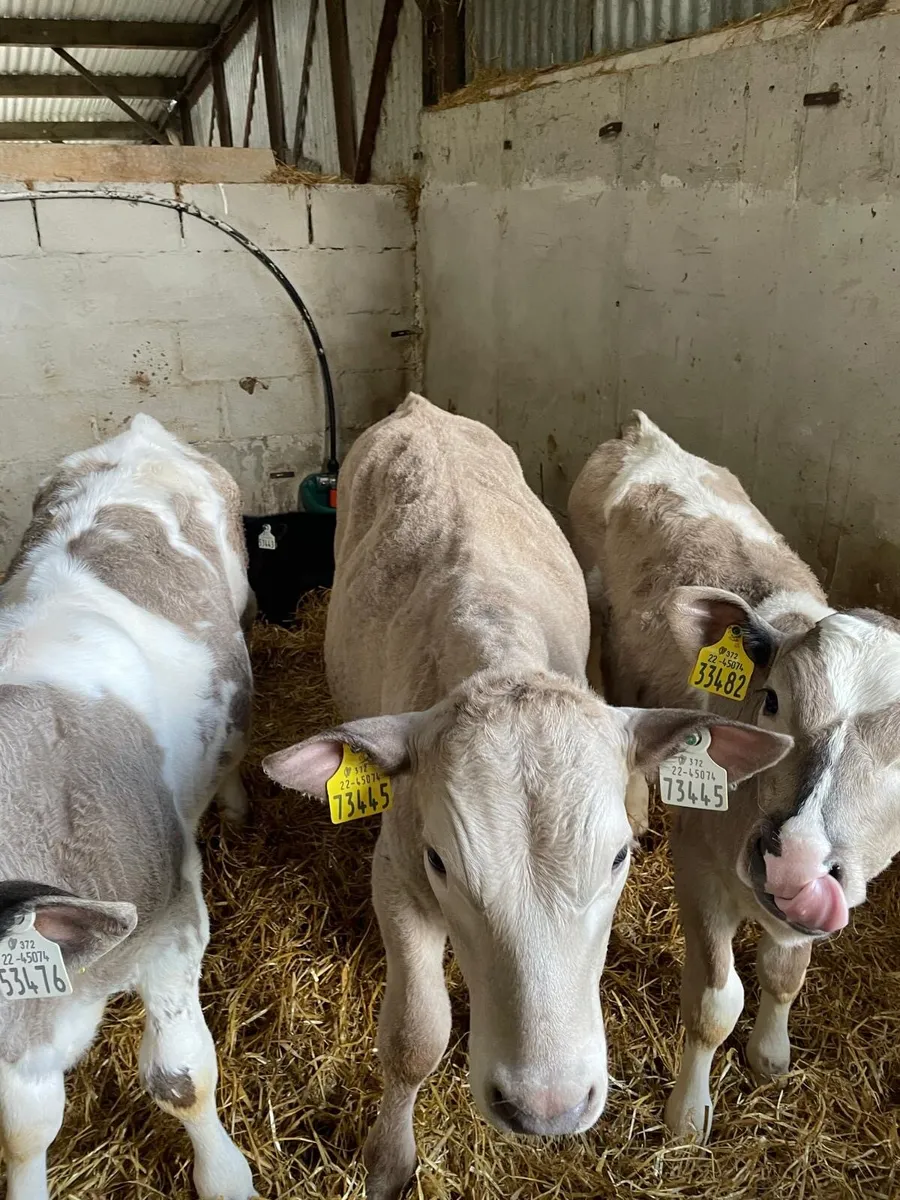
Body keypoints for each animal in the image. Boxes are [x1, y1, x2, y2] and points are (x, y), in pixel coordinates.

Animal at [262, 394, 790, 1199]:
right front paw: (389, 1162)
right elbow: (415, 1036)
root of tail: (418, 404)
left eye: (619, 861)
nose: (547, 1107)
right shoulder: (399, 874)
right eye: (442, 863)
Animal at [568, 410, 900, 1142]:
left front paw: (771, 1053)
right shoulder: (697, 871)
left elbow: (783, 972)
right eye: (771, 700)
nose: (795, 861)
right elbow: (717, 1002)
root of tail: (644, 433)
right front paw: (688, 1116)